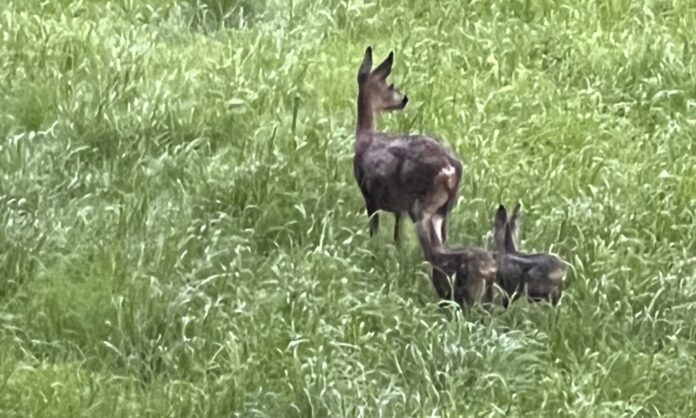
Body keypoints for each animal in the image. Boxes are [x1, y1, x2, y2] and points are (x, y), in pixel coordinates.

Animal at [354, 45, 462, 248]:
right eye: (390, 85)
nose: (404, 99)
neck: (364, 137)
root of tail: (451, 168)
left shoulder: (369, 196)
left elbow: (374, 231)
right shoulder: (398, 209)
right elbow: (397, 236)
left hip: (423, 203)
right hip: (445, 209)